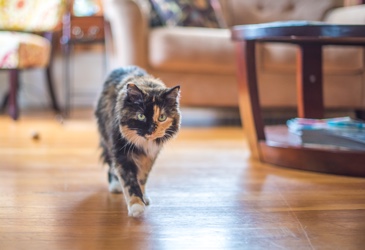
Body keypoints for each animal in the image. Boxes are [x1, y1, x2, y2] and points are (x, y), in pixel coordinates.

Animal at [93, 66, 180, 217]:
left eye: (162, 117)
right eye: (141, 116)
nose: (151, 129)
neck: (143, 144)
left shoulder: (150, 156)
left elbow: (142, 178)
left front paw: (143, 197)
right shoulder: (122, 154)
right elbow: (130, 182)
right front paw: (136, 206)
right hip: (107, 140)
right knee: (111, 165)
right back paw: (115, 186)